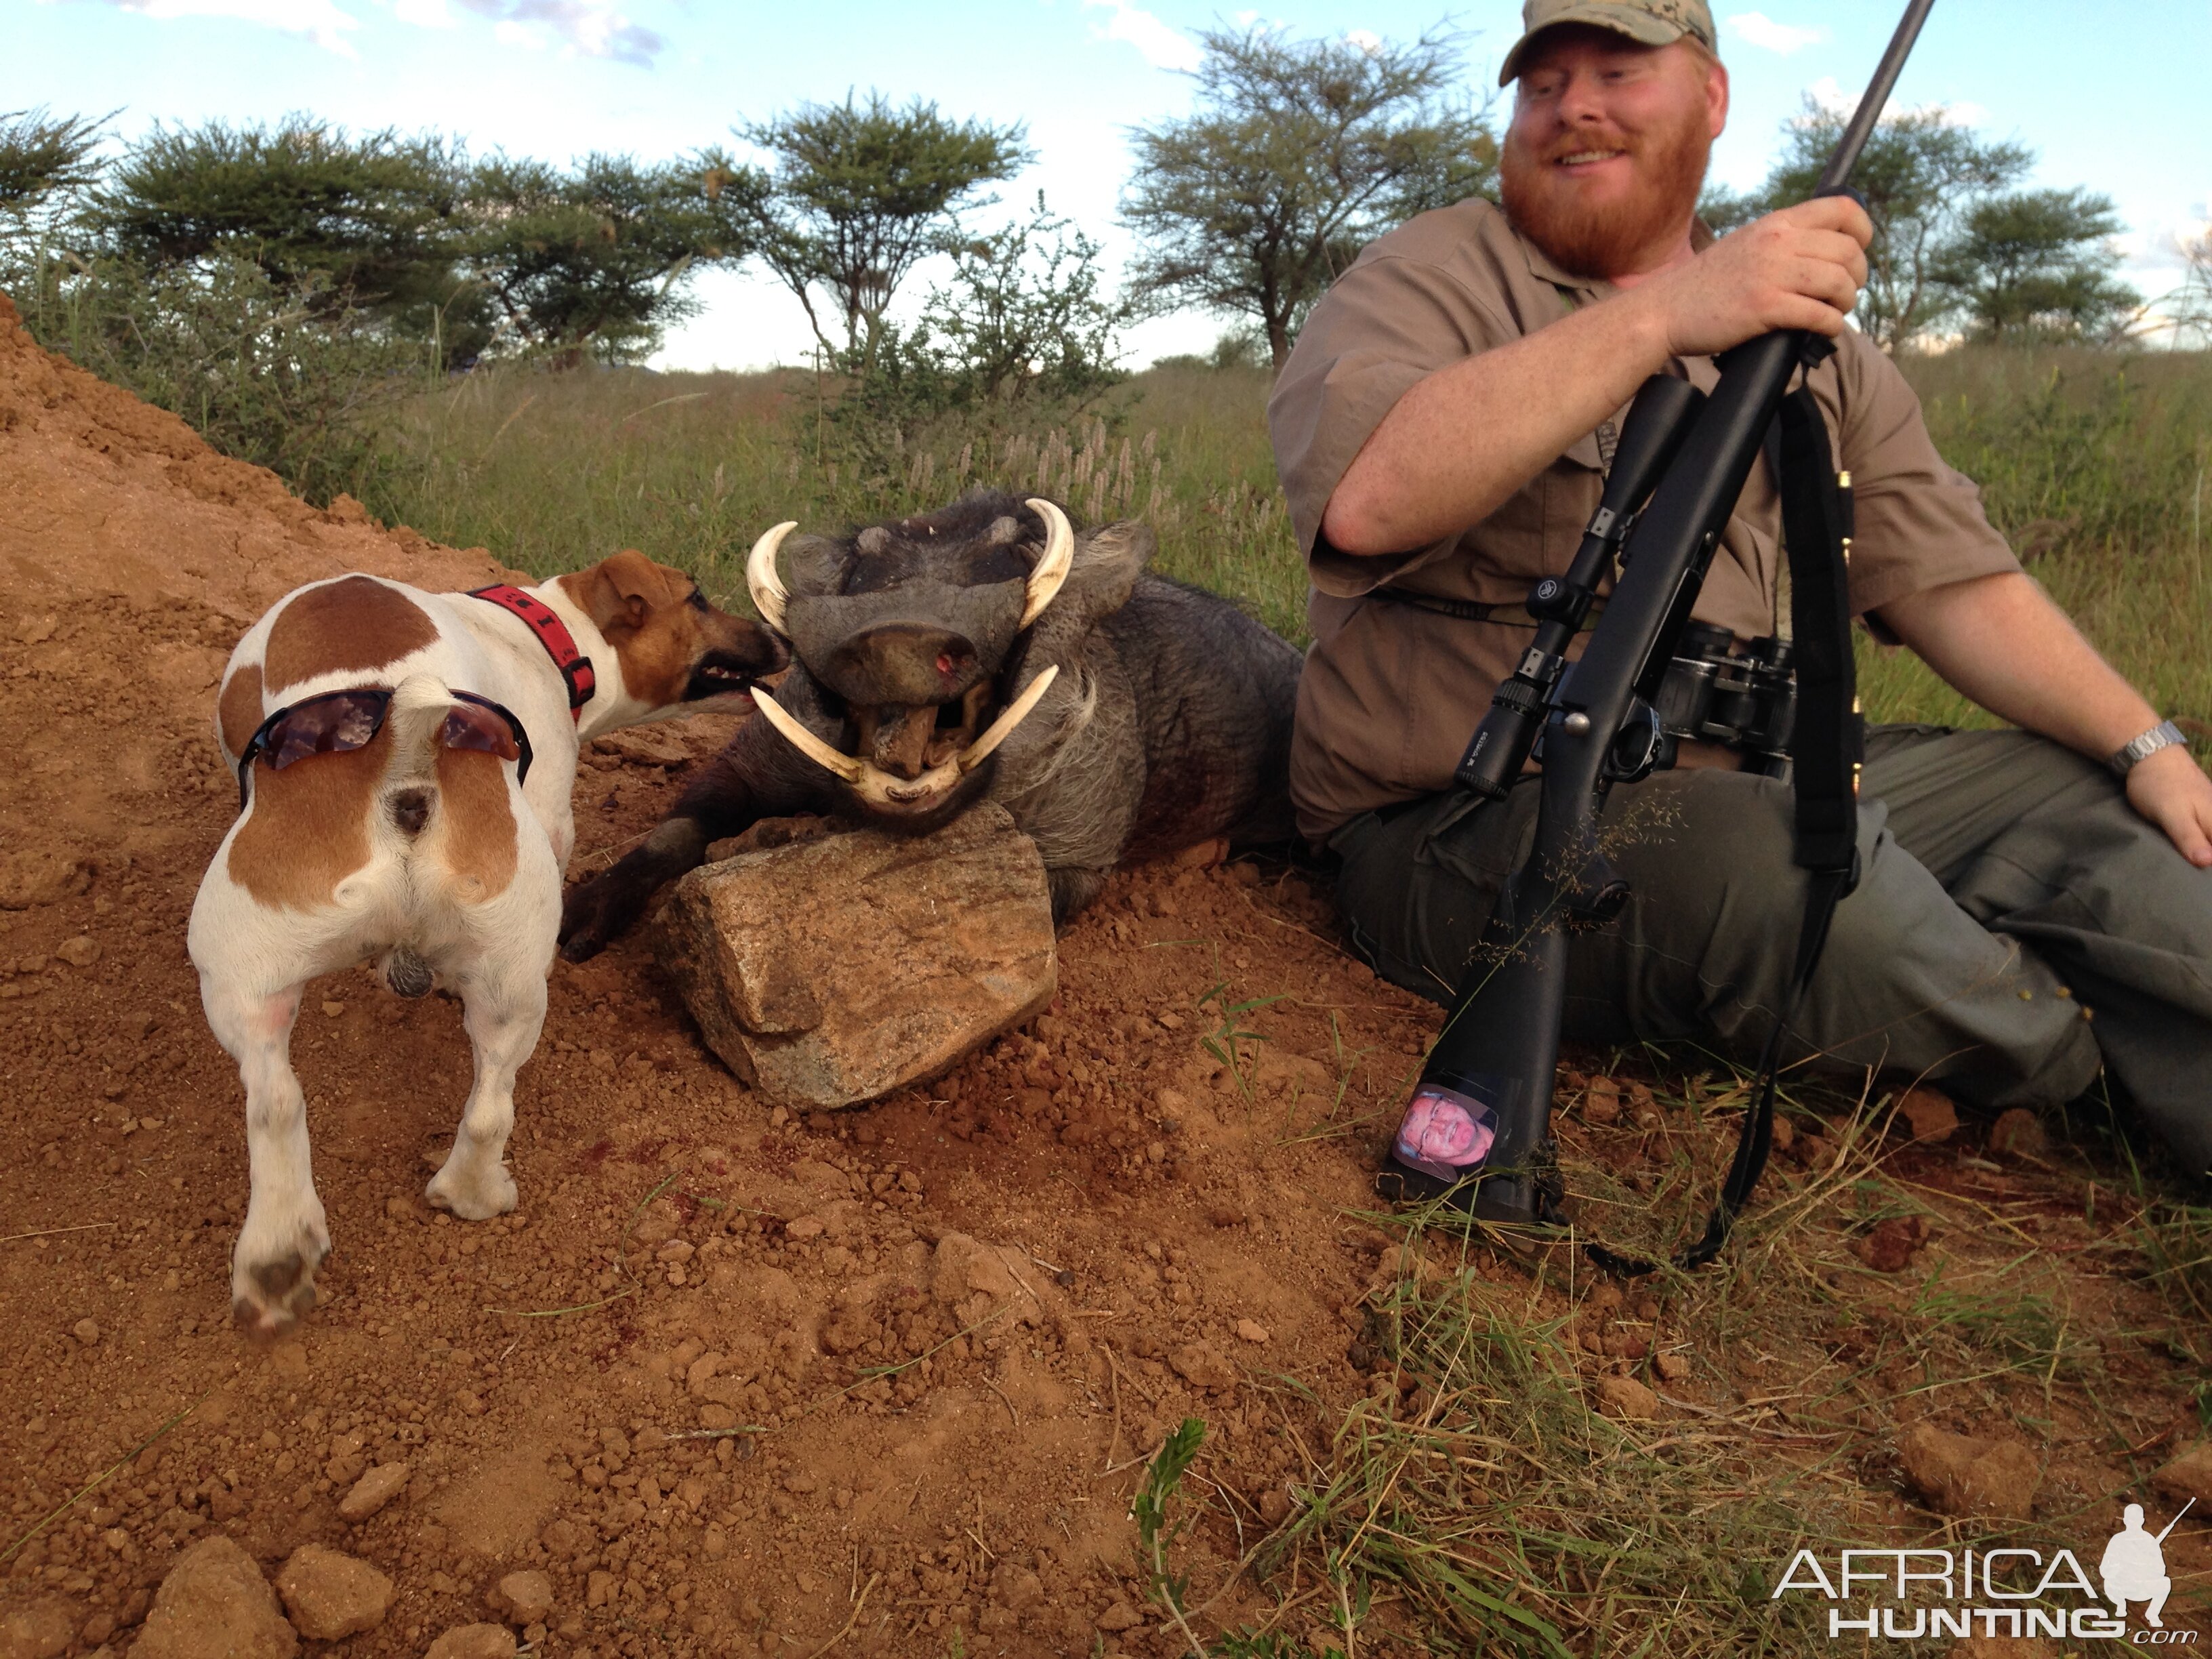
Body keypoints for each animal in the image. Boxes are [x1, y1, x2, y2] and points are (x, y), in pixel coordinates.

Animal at [186, 559, 787, 1336]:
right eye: (699, 599)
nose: (783, 638)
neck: (545, 629)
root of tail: (405, 749)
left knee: (282, 1099)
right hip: (494, 980)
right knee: (461, 1103)